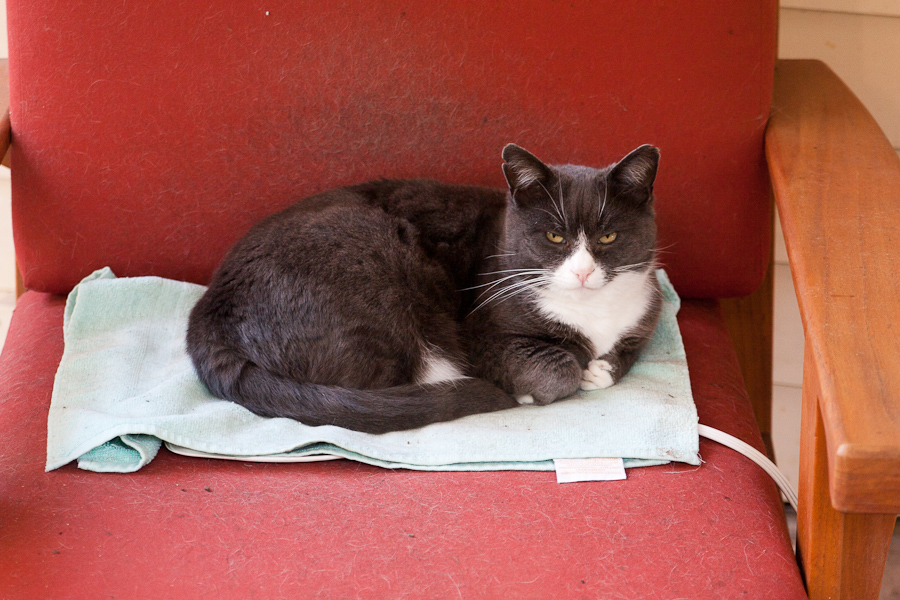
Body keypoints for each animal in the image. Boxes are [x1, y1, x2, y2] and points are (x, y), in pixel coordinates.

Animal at [186, 142, 660, 432]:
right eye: (554, 237)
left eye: (608, 237)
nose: (582, 273)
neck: (593, 312)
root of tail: (208, 314)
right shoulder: (481, 330)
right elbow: (556, 367)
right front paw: (558, 377)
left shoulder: (648, 306)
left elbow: (628, 348)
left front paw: (602, 368)